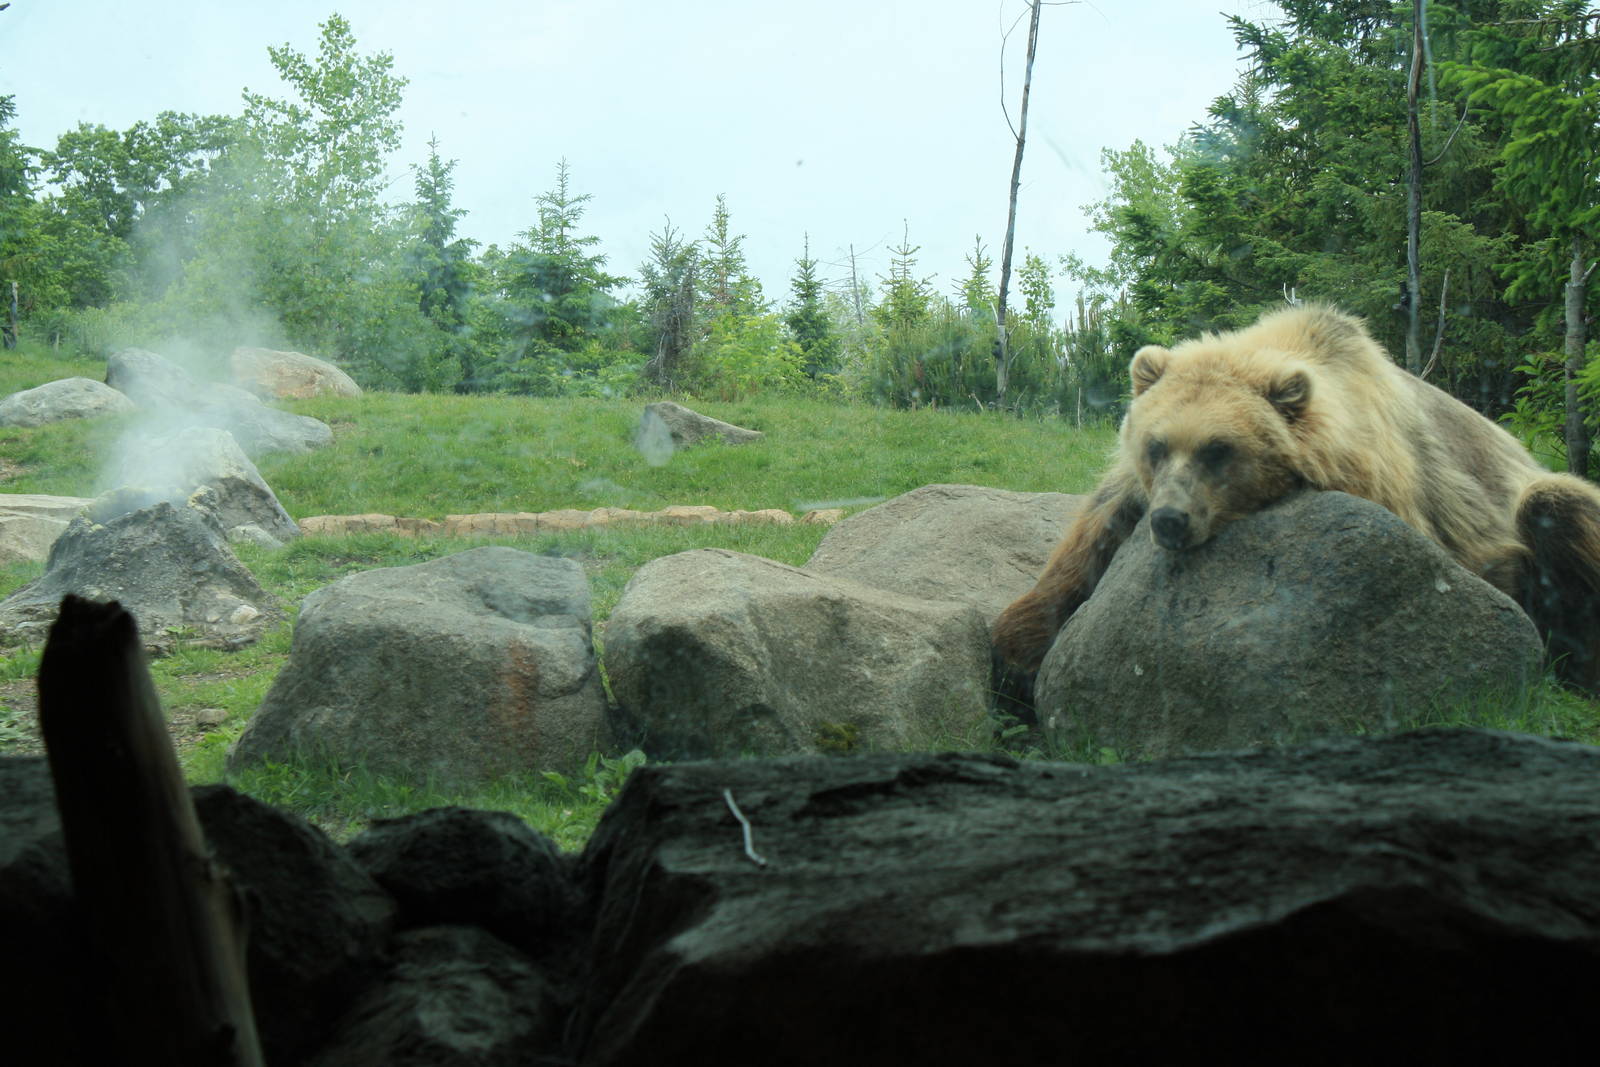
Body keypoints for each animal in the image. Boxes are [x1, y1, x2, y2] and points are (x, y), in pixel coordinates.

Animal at [991, 303, 1600, 695]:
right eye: (1156, 446)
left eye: (1219, 449)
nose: (1170, 520)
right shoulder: (1132, 492)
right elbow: (1092, 535)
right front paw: (1018, 646)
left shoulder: (1399, 488)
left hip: (1529, 489)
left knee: (1555, 505)